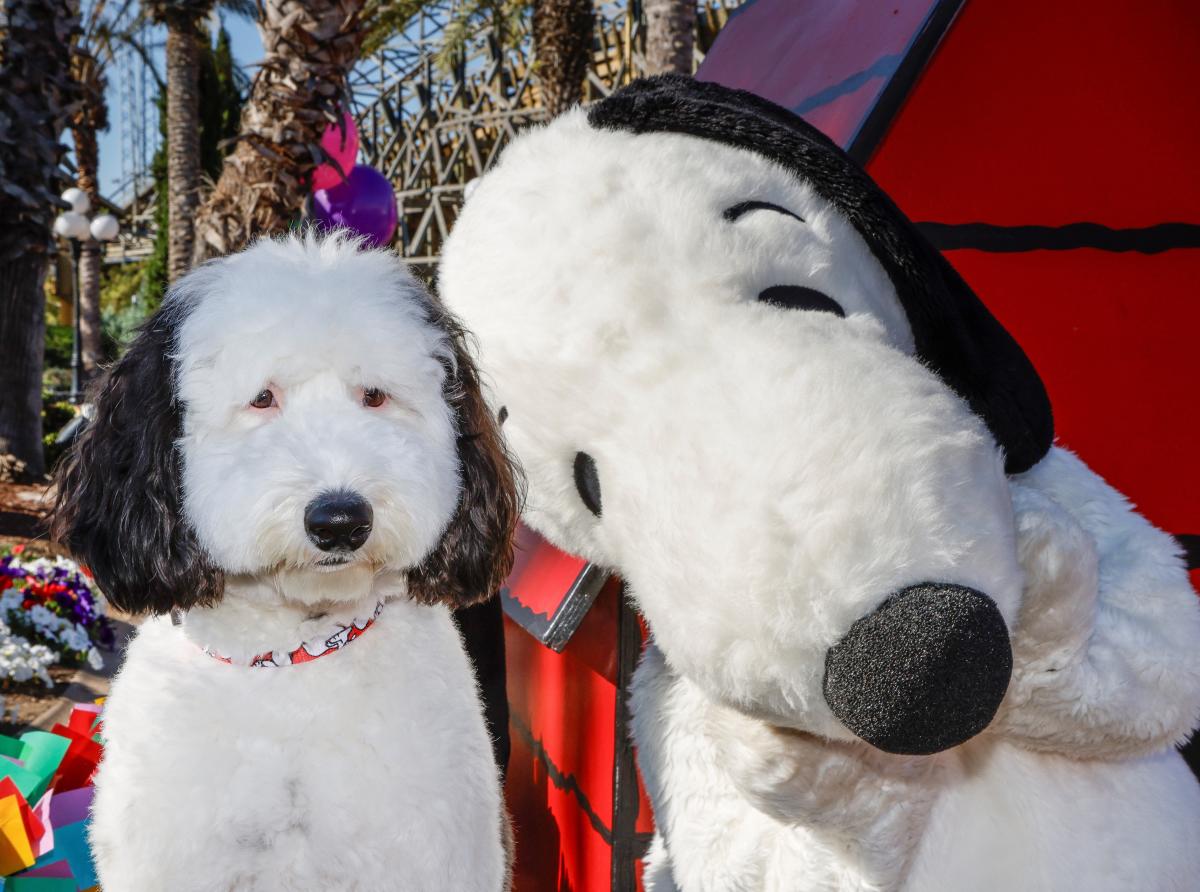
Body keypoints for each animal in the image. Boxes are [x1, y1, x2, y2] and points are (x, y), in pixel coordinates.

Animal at [439, 78, 1200, 892]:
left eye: (803, 300)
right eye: (588, 484)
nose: (921, 658)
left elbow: (1162, 649)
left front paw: (1048, 577)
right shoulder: (664, 715)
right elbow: (757, 855)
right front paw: (825, 777)